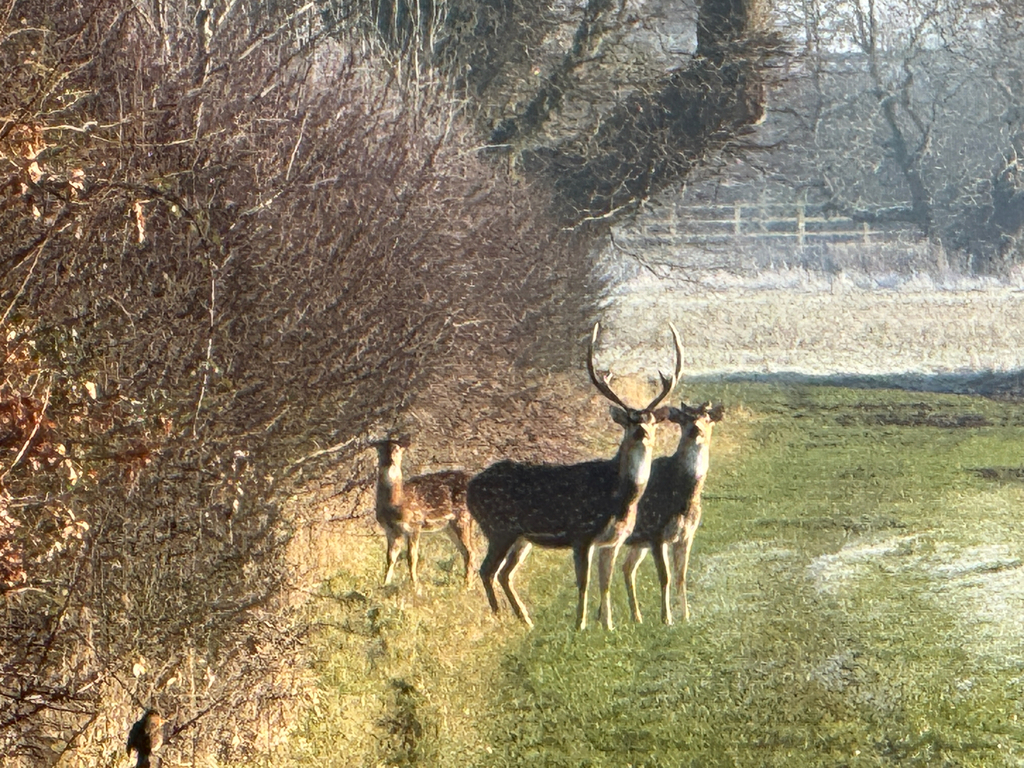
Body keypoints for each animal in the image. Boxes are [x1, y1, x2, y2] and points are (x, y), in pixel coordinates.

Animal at [371, 436, 476, 591]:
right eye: (380, 449)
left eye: (397, 448)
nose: (390, 461)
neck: (396, 504)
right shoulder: (390, 529)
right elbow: (390, 557)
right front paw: (384, 584)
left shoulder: (415, 523)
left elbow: (412, 557)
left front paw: (415, 585)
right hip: (450, 526)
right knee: (466, 551)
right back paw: (469, 583)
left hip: (462, 517)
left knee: (470, 551)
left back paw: (467, 586)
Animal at [466, 321, 683, 630]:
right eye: (630, 420)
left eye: (652, 420)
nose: (642, 431)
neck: (618, 495)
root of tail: (469, 488)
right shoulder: (582, 532)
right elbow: (584, 582)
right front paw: (580, 624)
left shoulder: (613, 541)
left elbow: (606, 582)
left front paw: (608, 625)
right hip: (498, 527)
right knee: (487, 570)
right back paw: (499, 616)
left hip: (520, 537)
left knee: (504, 573)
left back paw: (525, 619)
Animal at [598, 401, 724, 625]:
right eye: (683, 418)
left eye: (707, 418)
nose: (696, 428)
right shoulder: (656, 532)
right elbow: (665, 576)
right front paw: (666, 619)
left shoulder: (687, 535)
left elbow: (681, 575)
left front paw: (686, 616)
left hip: (638, 542)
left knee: (627, 567)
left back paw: (636, 617)